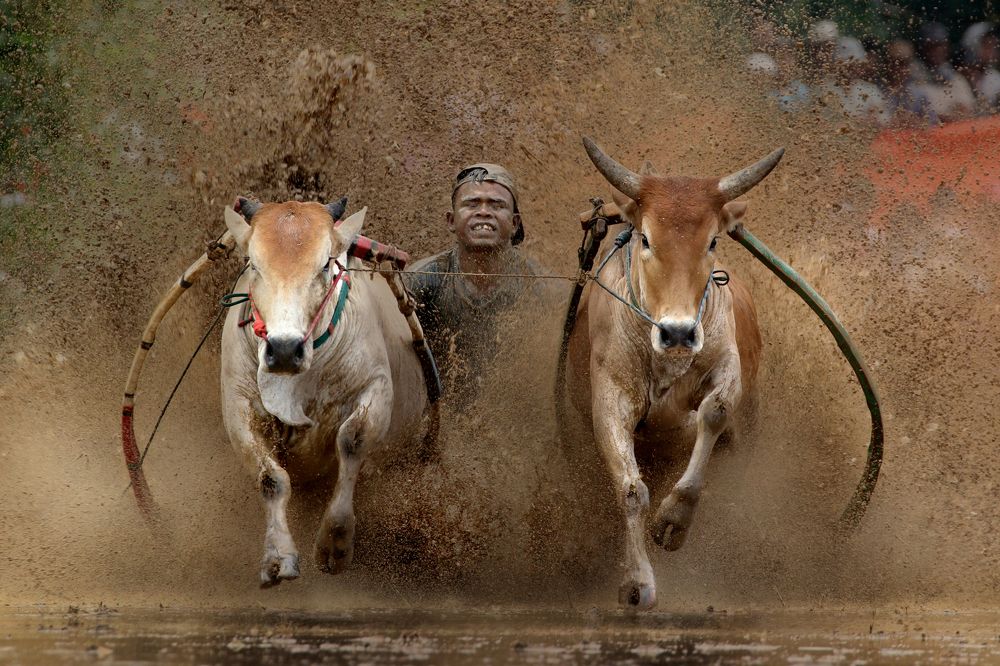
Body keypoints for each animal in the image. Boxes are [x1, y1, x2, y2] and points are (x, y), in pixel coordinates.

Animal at [221, 198, 430, 586]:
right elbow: (271, 479)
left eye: (324, 265)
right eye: (254, 264)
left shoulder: (375, 386)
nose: (284, 350)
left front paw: (336, 541)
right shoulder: (238, 406)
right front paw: (278, 557)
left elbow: (352, 441)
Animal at [564, 138, 784, 609]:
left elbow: (715, 413)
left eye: (712, 240)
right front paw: (637, 580)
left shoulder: (727, 367)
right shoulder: (608, 402)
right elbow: (632, 491)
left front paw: (674, 519)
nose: (678, 332)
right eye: (646, 238)